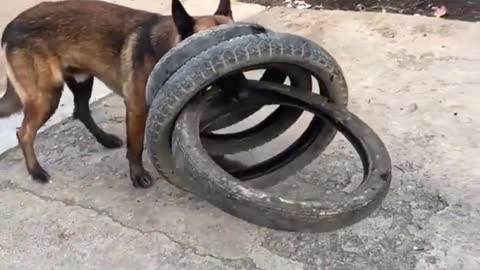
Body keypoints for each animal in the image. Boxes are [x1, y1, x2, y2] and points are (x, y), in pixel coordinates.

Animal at [0, 0, 233, 188]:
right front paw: (137, 175)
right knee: (24, 133)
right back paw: (36, 171)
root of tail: (10, 27)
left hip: (82, 80)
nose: (239, 93)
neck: (166, 48)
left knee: (81, 111)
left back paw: (105, 140)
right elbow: (136, 145)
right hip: (47, 96)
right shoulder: (137, 108)